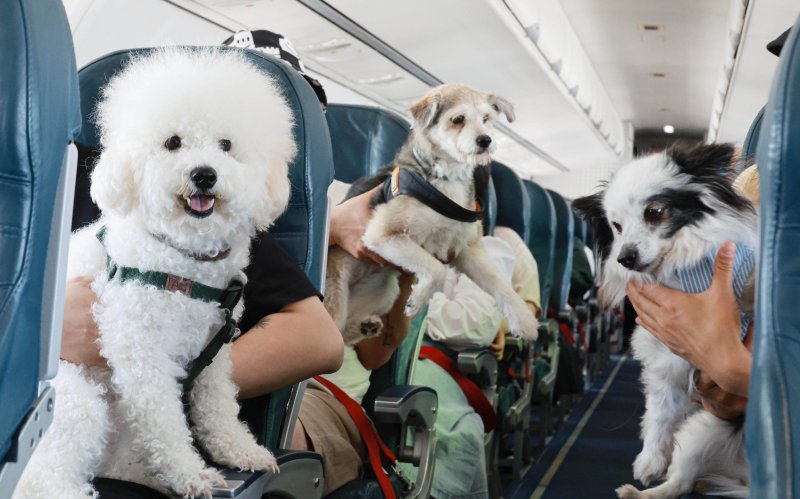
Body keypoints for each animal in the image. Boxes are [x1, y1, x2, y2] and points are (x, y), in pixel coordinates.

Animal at [14, 47, 296, 499]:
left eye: (226, 145)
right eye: (173, 142)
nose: (204, 174)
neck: (182, 260)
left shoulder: (215, 348)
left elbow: (218, 406)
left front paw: (238, 450)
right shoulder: (141, 349)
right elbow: (164, 421)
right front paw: (190, 472)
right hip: (75, 402)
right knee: (43, 479)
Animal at [324, 84, 536, 346]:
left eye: (487, 119)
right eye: (458, 119)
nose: (485, 140)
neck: (447, 180)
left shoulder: (467, 250)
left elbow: (499, 283)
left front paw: (524, 320)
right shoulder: (383, 234)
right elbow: (436, 269)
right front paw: (418, 299)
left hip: (384, 290)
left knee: (344, 333)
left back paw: (366, 327)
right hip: (334, 298)